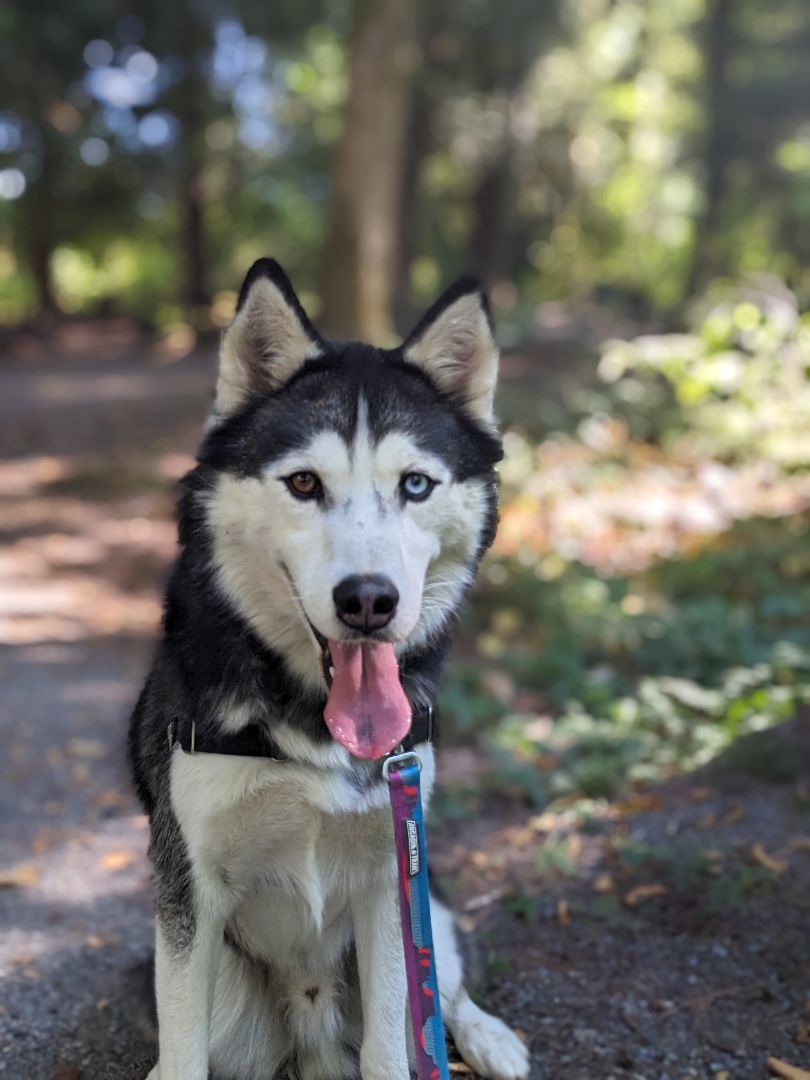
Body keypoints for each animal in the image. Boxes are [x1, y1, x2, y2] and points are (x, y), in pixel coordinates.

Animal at [129, 261, 529, 1080]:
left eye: (416, 485)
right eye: (305, 484)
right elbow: (182, 1051)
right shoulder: (188, 887)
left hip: (431, 907)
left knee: (443, 995)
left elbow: (392, 1045)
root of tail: (312, 1027)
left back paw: (489, 1037)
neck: (310, 718)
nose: (369, 600)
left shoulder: (392, 876)